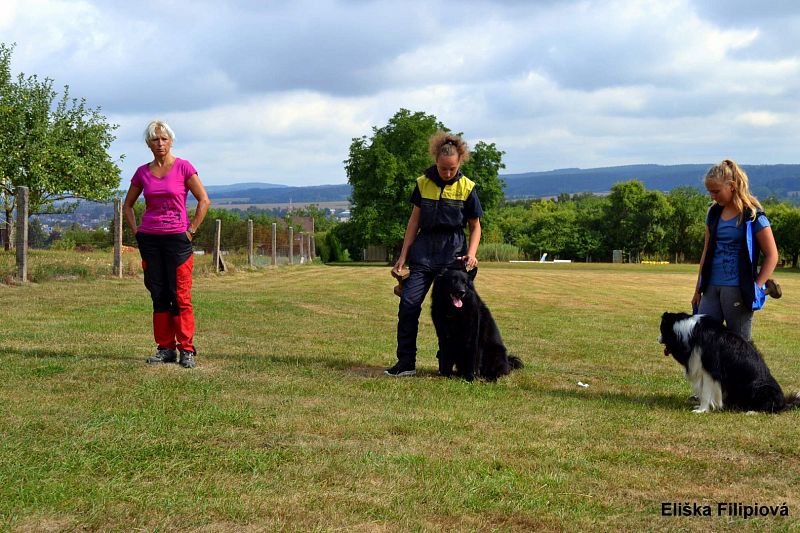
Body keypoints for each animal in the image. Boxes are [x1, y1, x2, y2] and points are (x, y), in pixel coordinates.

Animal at [660, 310, 796, 414]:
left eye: (661, 330)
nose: (657, 339)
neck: (691, 332)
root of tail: (784, 403)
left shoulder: (710, 369)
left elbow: (705, 392)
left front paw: (701, 410)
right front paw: (701, 407)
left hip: (760, 388)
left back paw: (752, 412)